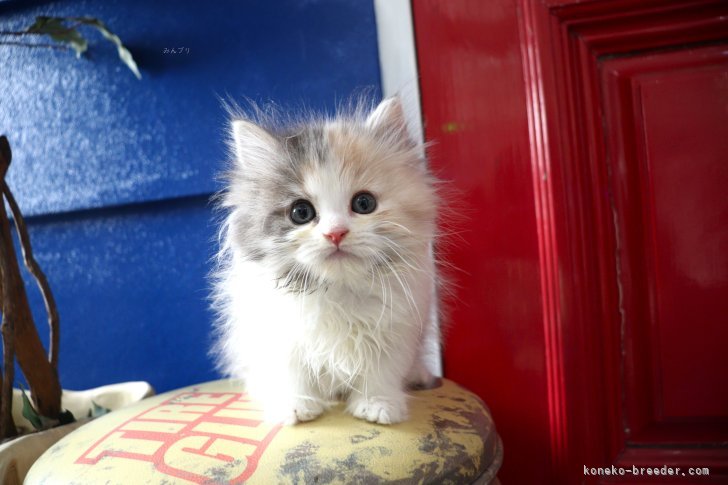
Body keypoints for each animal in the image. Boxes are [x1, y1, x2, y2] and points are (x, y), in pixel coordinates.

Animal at [210, 95, 438, 424]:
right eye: (301, 212)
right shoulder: (279, 334)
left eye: (364, 203)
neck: (339, 289)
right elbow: (292, 374)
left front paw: (377, 405)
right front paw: (295, 407)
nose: (336, 233)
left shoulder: (398, 331)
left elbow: (381, 373)